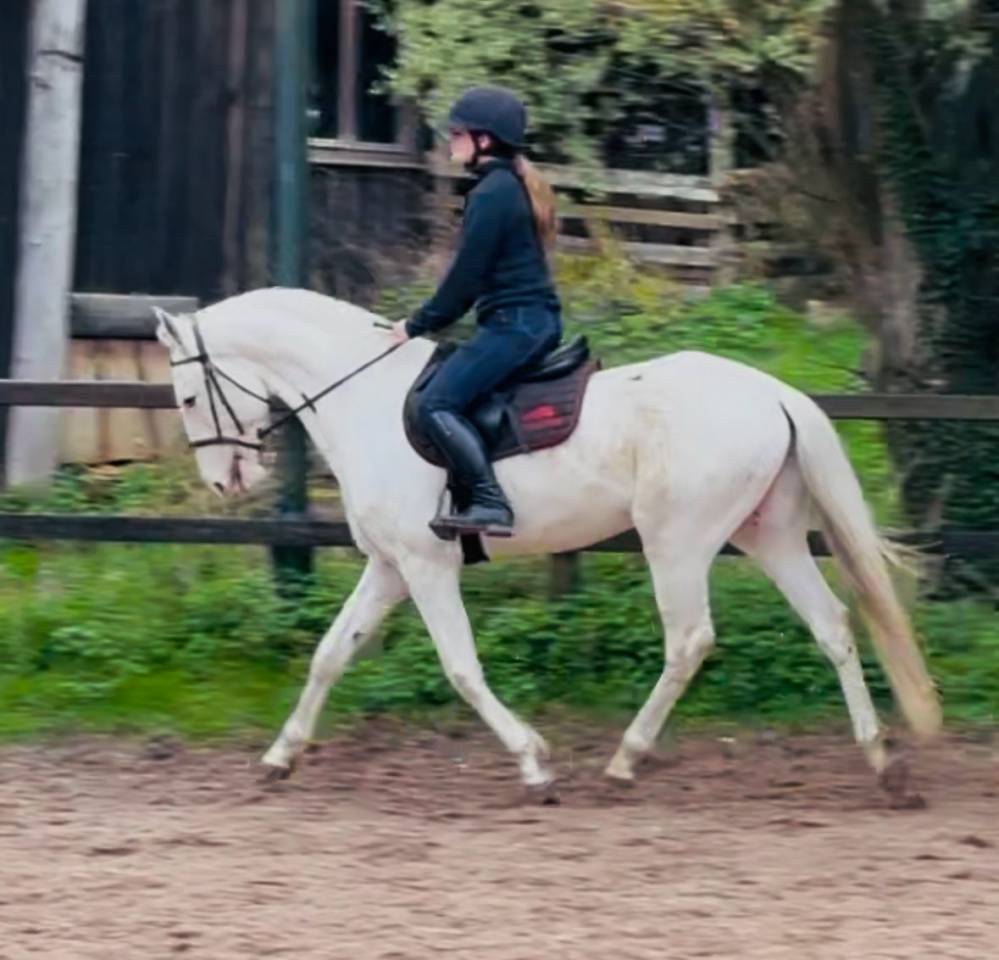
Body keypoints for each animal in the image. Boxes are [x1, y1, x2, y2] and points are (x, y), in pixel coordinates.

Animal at [153, 286, 941, 803]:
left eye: (187, 398)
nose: (225, 483)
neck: (366, 400)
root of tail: (774, 393)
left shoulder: (426, 567)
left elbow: (461, 668)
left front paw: (533, 761)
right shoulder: (388, 567)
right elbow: (329, 655)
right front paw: (279, 757)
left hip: (677, 542)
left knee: (689, 641)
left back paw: (625, 760)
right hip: (767, 535)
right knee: (832, 627)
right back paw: (884, 764)